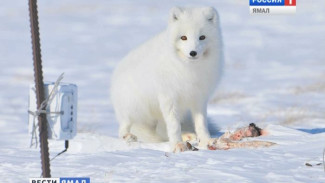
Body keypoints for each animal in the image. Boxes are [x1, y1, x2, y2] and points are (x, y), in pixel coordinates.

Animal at [110, 6, 221, 152]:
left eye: (202, 37)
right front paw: (177, 145)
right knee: (124, 125)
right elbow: (174, 126)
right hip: (132, 106)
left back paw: (188, 135)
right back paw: (127, 136)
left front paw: (206, 141)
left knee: (161, 131)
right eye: (183, 37)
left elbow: (201, 123)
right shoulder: (168, 97)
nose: (193, 53)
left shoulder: (199, 98)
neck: (188, 69)